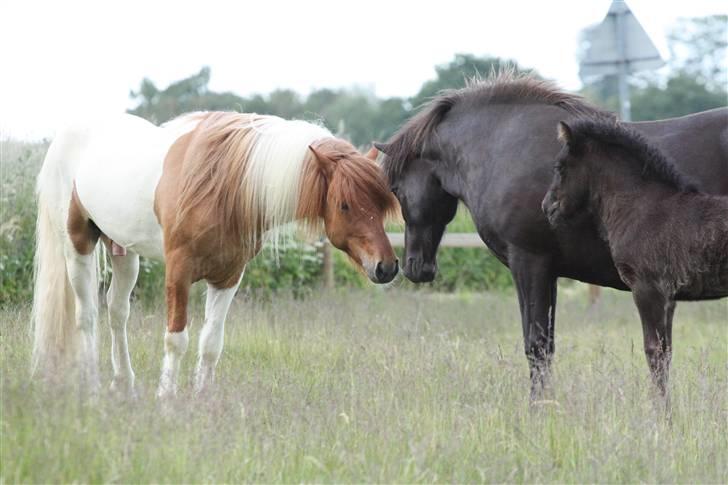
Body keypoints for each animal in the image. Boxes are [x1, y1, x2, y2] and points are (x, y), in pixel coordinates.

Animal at [32, 111, 398, 396]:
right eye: (344, 204)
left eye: (381, 203)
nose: (387, 267)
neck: (226, 183)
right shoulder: (178, 271)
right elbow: (176, 339)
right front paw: (167, 400)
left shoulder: (228, 276)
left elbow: (211, 344)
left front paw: (203, 401)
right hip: (77, 245)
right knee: (86, 315)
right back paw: (92, 387)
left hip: (123, 251)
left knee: (117, 312)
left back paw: (124, 384)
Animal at [540, 120, 728, 394]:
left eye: (560, 166)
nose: (547, 207)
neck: (641, 207)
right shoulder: (669, 297)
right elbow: (666, 351)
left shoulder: (647, 288)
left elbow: (654, 352)